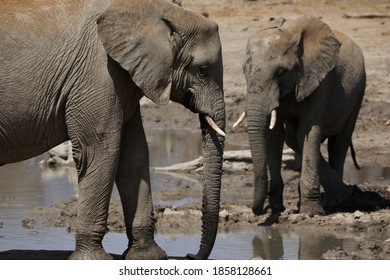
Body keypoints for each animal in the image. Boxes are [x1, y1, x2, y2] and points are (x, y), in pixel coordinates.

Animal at [0, 0, 225, 260]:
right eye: (202, 70)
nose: (190, 256)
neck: (159, 10)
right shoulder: (98, 74)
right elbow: (101, 151)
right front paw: (93, 259)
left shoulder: (123, 78)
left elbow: (134, 155)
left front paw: (149, 256)